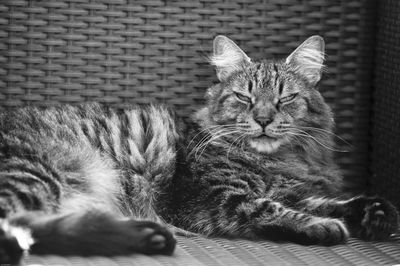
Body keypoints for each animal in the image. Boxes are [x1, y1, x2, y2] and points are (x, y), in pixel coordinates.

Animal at [0, 35, 400, 266]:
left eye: (285, 99)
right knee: (17, 229)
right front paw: (325, 226)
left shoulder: (293, 190)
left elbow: (328, 201)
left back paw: (144, 237)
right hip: (39, 172)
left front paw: (376, 213)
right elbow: (271, 209)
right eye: (244, 97)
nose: (264, 119)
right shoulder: (216, 197)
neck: (273, 161)